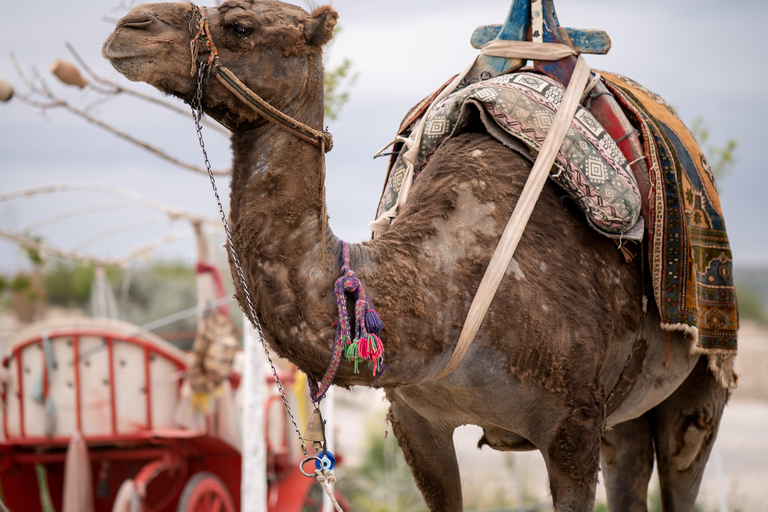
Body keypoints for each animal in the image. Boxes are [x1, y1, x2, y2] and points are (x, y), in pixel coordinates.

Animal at [103, 2, 732, 510]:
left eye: (239, 24)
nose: (127, 26)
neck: (446, 286)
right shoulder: (417, 419)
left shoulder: (572, 426)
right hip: (624, 413)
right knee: (632, 463)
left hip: (699, 384)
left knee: (683, 463)